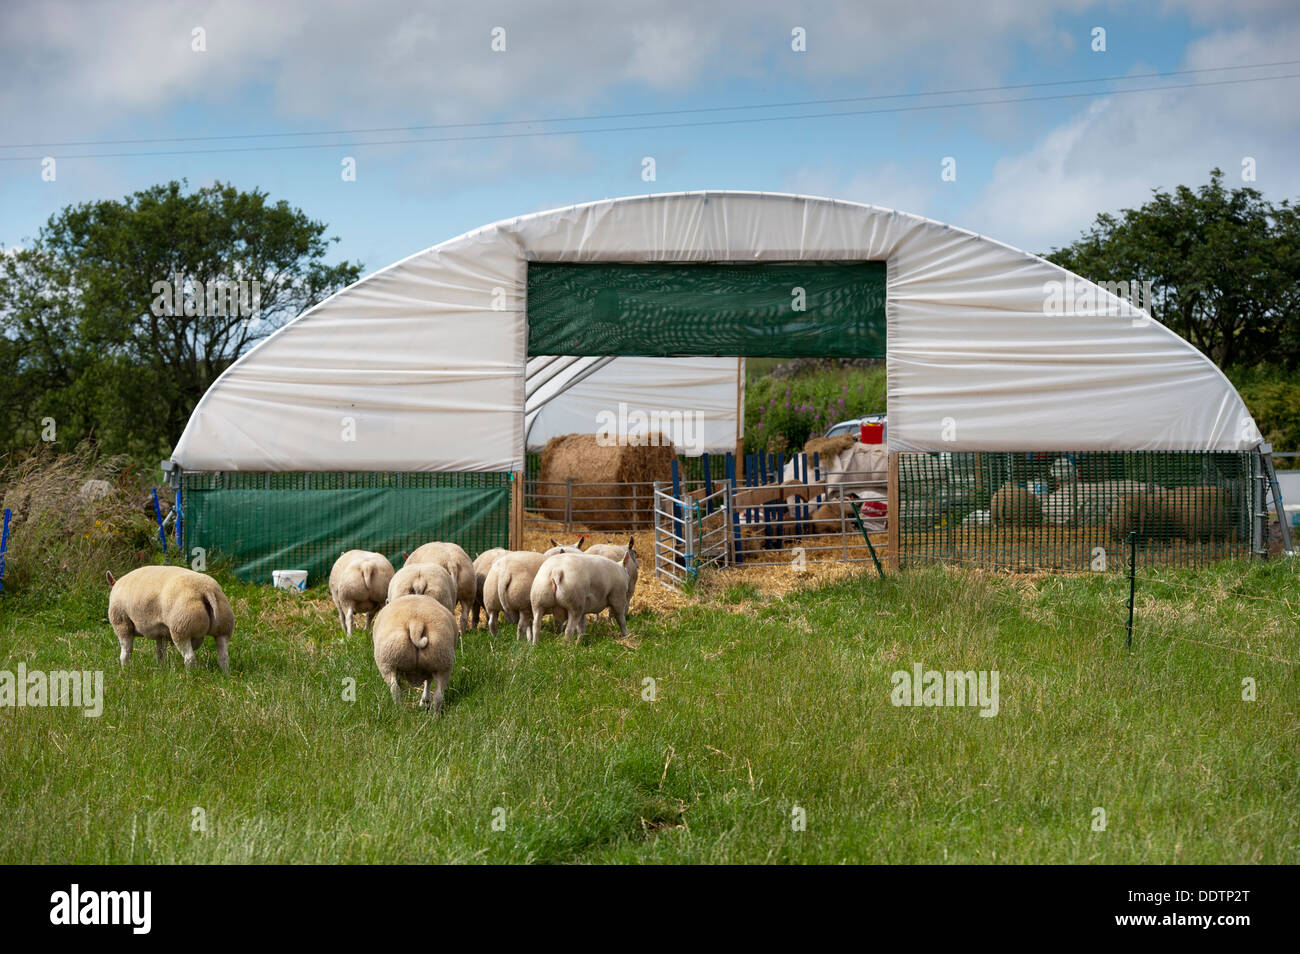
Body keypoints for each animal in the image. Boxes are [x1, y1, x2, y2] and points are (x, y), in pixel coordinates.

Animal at [105, 566, 235, 670]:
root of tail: (206, 590)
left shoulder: (122, 624)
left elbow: (126, 652)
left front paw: (124, 670)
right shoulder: (161, 633)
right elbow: (160, 652)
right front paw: (160, 667)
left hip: (181, 628)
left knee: (189, 658)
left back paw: (190, 676)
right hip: (224, 627)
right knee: (223, 656)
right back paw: (225, 674)